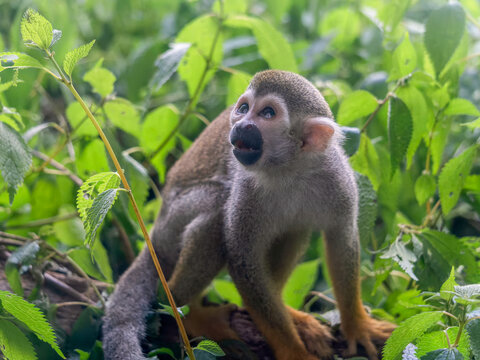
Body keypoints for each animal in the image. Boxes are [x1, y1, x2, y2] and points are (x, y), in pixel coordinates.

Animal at [104, 70, 394, 360]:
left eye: (267, 113)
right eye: (243, 108)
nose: (242, 125)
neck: (289, 170)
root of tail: (154, 232)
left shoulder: (338, 178)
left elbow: (341, 239)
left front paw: (357, 325)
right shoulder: (246, 190)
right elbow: (243, 261)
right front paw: (292, 351)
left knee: (294, 229)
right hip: (172, 225)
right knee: (215, 211)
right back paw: (190, 314)